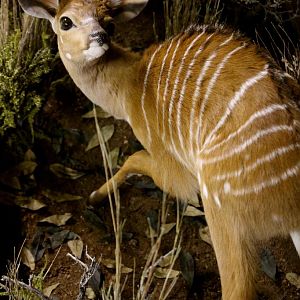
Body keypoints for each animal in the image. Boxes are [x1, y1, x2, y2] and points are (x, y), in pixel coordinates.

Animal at [18, 0, 300, 298]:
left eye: (110, 23)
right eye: (66, 21)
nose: (100, 36)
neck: (130, 83)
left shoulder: (174, 168)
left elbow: (136, 158)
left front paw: (95, 195)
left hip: (220, 207)